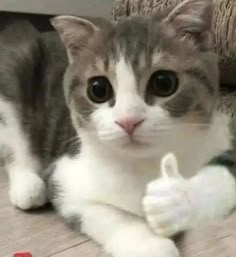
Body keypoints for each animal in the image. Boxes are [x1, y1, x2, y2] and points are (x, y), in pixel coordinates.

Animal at [1, 0, 236, 255]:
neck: (144, 164)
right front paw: (150, 245)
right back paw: (28, 185)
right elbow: (107, 212)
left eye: (164, 83)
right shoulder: (66, 177)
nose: (128, 120)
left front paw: (176, 201)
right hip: (16, 66)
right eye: (98, 89)